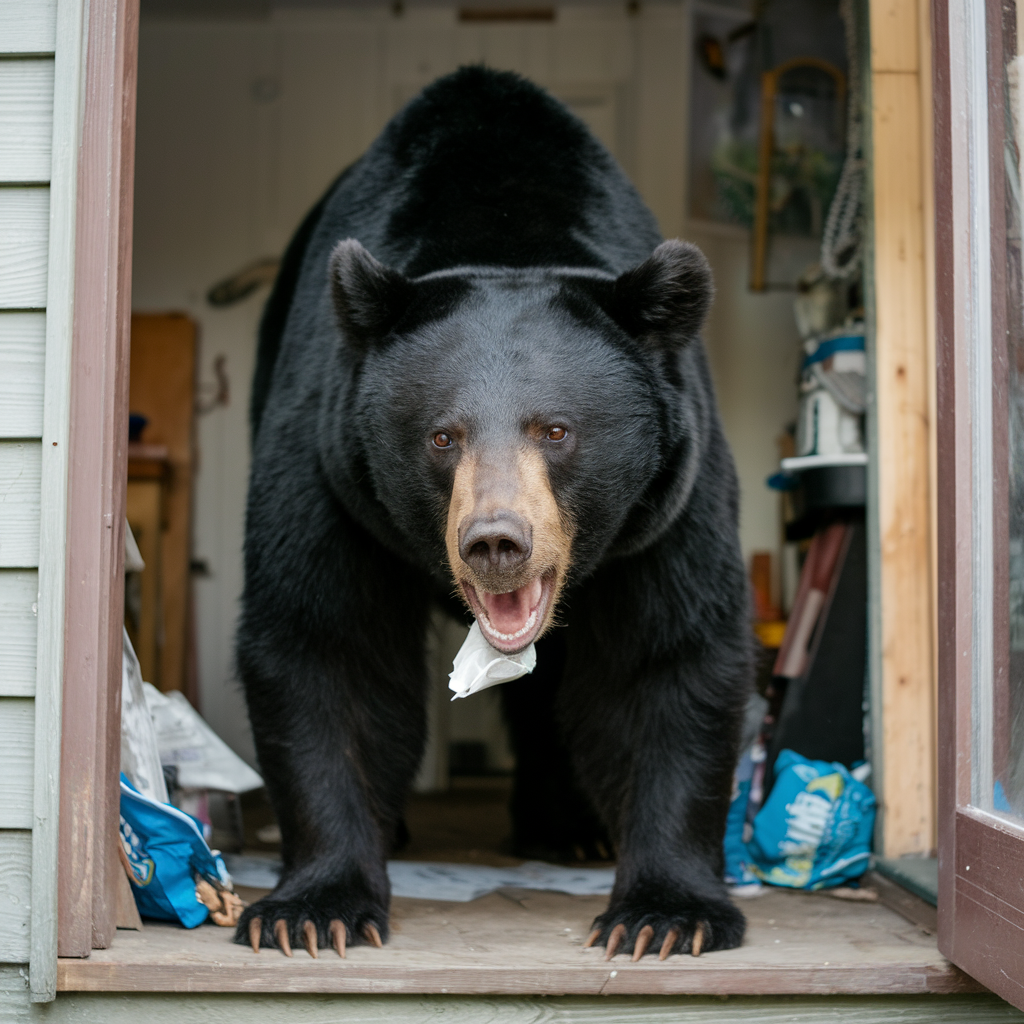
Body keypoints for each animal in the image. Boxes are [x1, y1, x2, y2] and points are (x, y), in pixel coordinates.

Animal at [237, 64, 753, 958]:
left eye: (557, 429)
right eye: (442, 436)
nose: (495, 542)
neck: (504, 235)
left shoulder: (669, 505)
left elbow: (667, 660)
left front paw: (665, 915)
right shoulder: (329, 475)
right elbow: (324, 645)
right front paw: (312, 908)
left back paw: (565, 829)